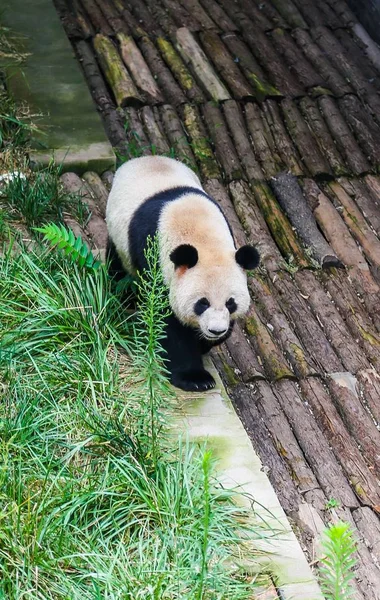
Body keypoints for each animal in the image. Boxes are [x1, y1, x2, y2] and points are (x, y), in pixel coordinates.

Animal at [105, 155, 260, 392]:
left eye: (230, 303)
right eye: (202, 303)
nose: (215, 330)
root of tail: (144, 158)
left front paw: (205, 343)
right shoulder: (155, 258)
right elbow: (168, 321)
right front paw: (195, 378)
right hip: (119, 235)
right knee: (118, 264)